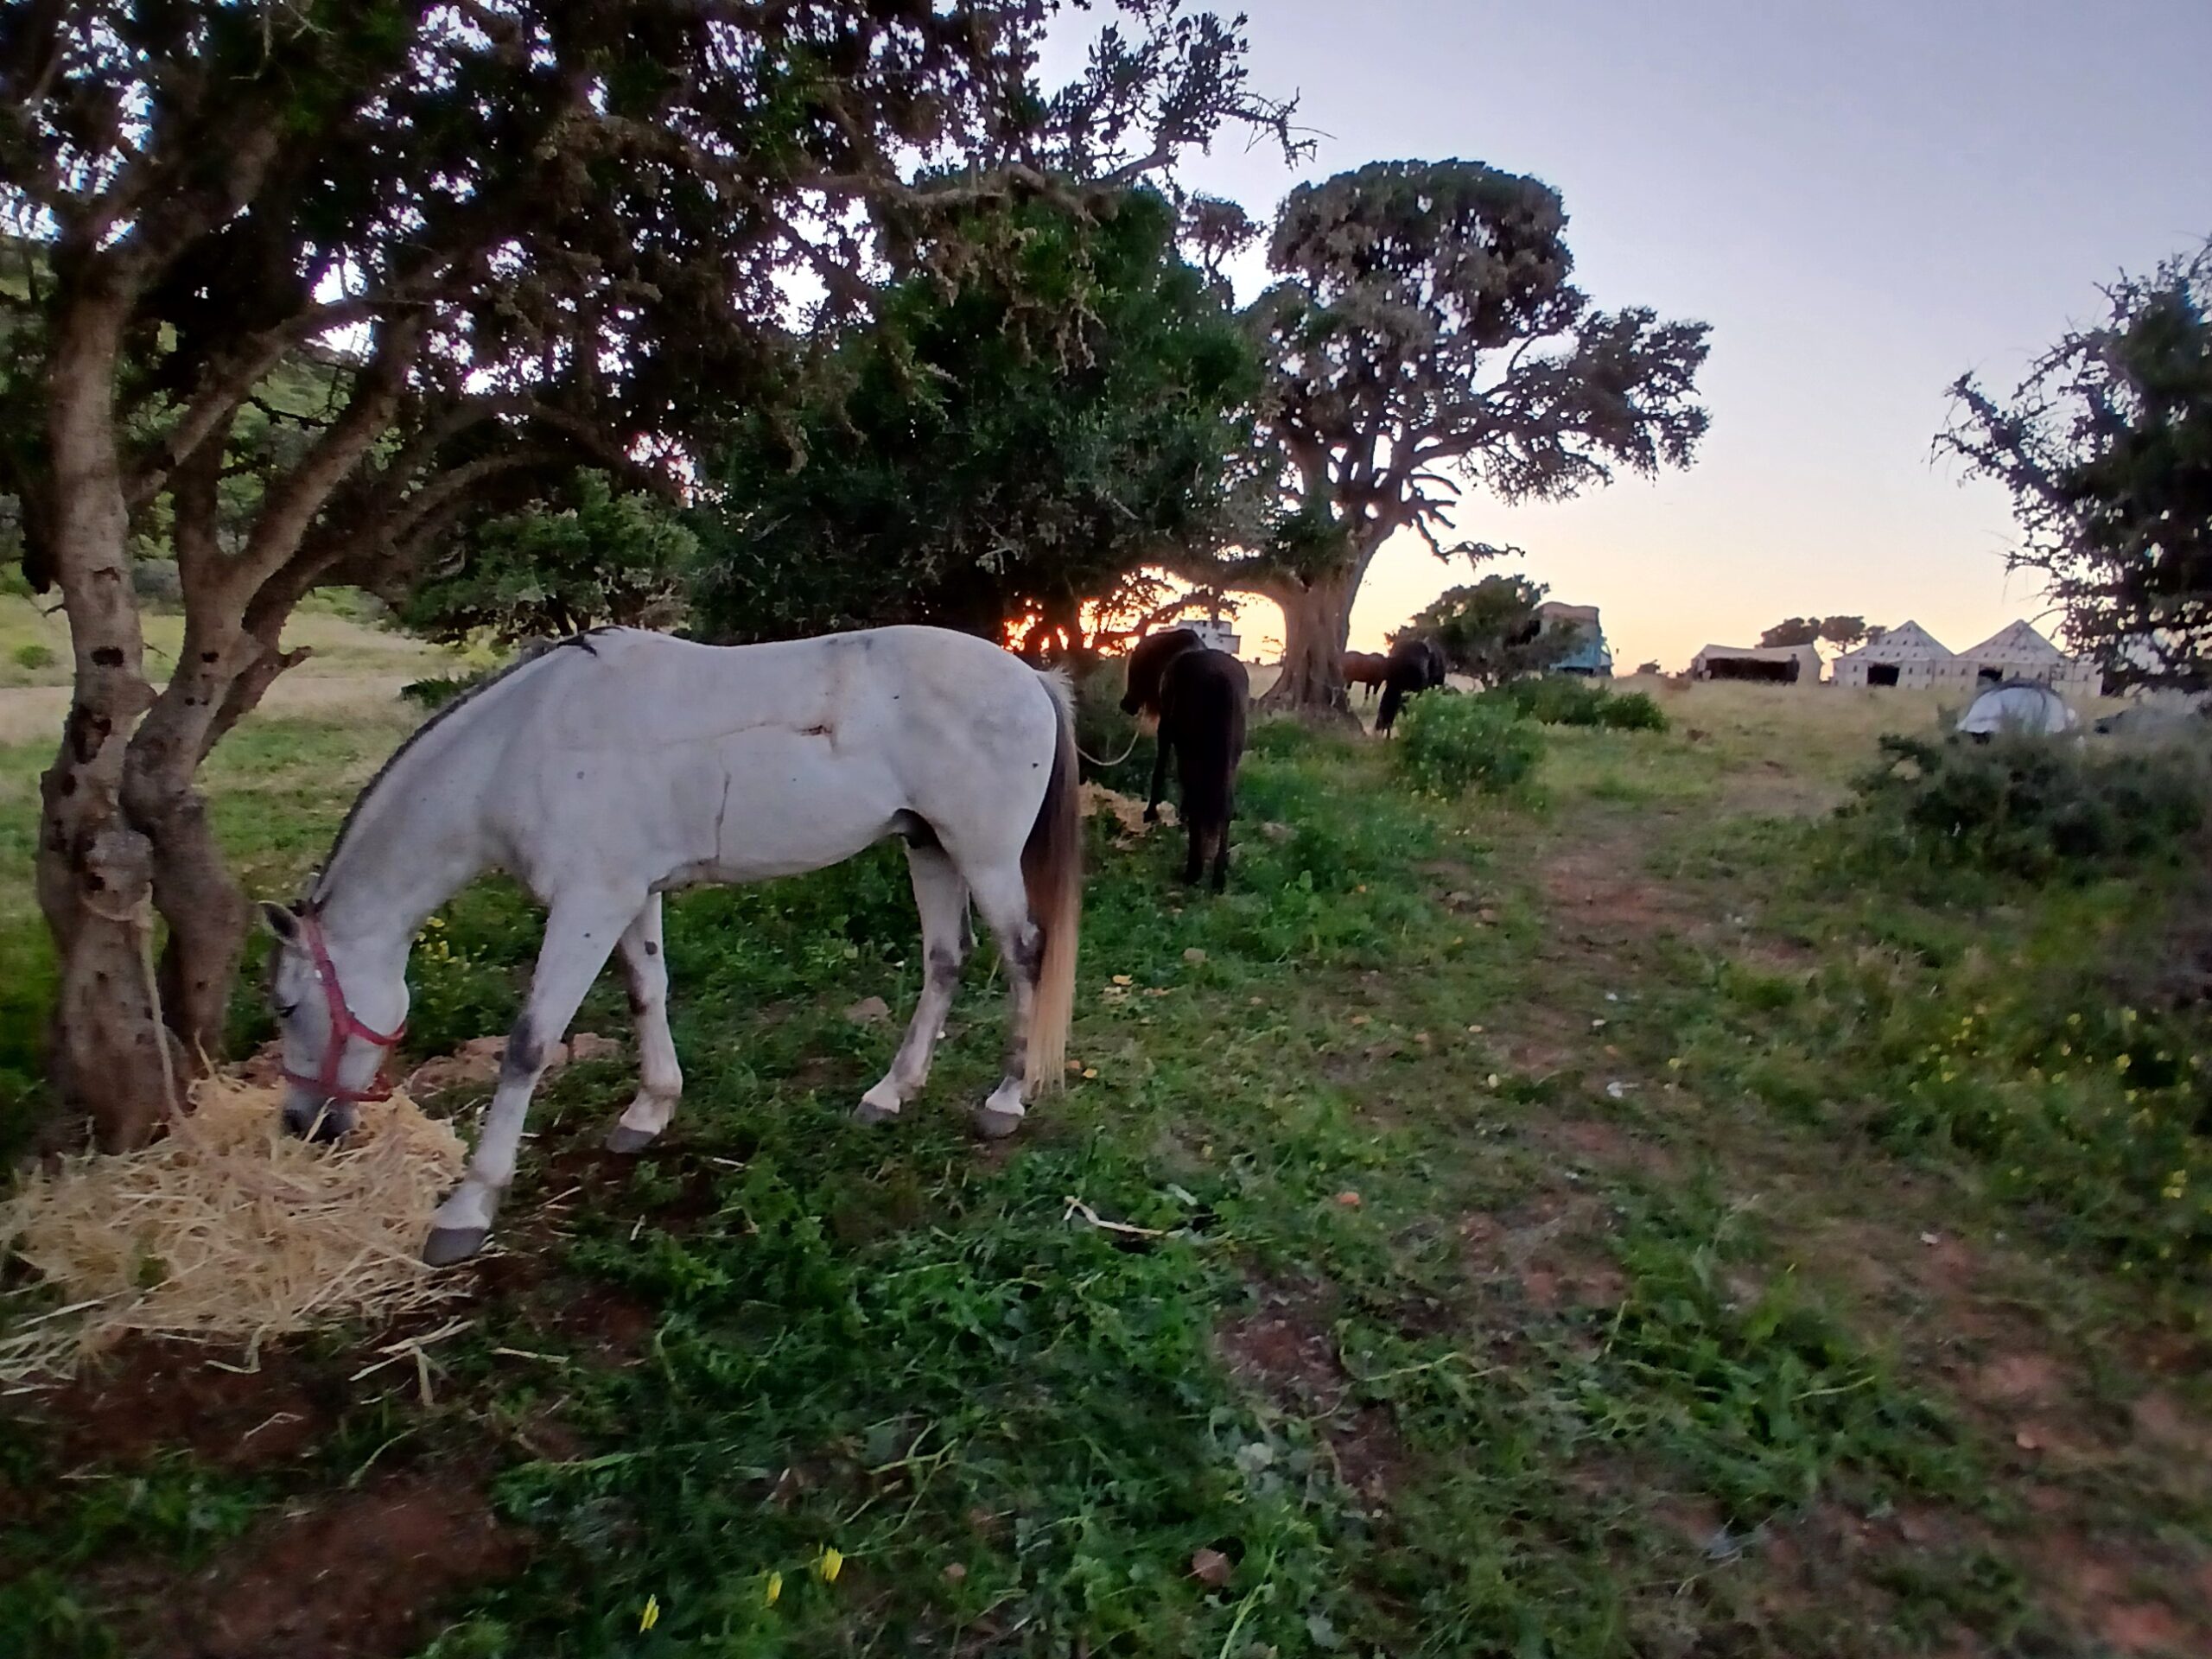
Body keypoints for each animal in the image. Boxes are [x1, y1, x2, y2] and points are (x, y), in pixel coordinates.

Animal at [257, 626, 1081, 1267]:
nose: (301, 1125)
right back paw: (890, 1093)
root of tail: (1031, 679)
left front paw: (470, 1206)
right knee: (947, 959)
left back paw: (1004, 1100)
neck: (522, 747)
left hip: (982, 855)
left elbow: (529, 1043)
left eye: (288, 1006)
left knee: (1024, 954)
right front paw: (649, 1111)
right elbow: (645, 992)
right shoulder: (628, 894)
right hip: (928, 846)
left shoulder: (588, 903)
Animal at [1120, 628, 1250, 891]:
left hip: (1194, 753)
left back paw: (1193, 870)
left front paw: (1152, 814)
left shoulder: (1167, 735)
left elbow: (1161, 773)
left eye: (1134, 668)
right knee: (1224, 808)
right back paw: (1218, 877)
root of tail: (1221, 679)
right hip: (1229, 761)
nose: (1125, 704)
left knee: (1200, 800)